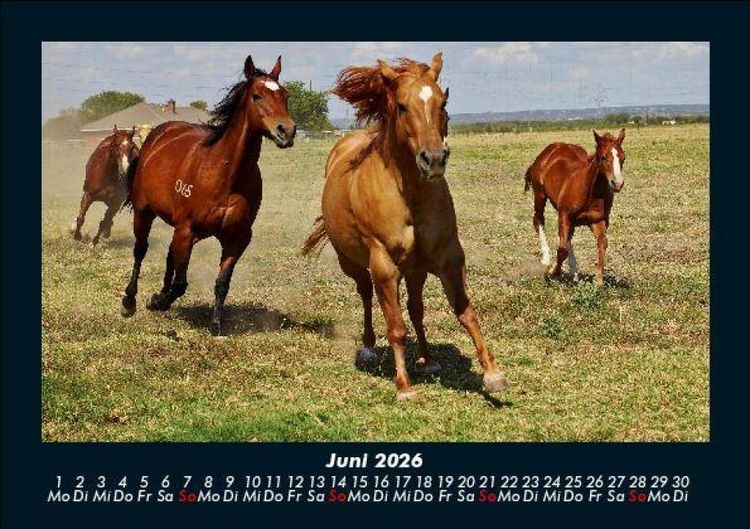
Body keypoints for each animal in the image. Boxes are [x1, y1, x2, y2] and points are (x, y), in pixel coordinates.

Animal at [120, 54, 296, 336]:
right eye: (257, 96)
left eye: (286, 95)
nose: (286, 131)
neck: (226, 176)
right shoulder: (186, 229)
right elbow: (181, 283)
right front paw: (157, 302)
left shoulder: (237, 238)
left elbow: (222, 282)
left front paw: (215, 324)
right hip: (144, 212)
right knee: (140, 250)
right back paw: (130, 301)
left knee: (169, 255)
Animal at [302, 53, 509, 400]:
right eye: (401, 106)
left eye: (443, 102)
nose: (434, 159)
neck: (408, 194)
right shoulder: (384, 263)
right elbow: (396, 327)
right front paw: (404, 386)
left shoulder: (448, 257)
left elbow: (465, 312)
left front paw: (492, 373)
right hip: (355, 263)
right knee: (367, 295)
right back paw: (370, 349)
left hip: (415, 269)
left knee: (415, 308)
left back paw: (427, 359)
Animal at [524, 129, 626, 285]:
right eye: (603, 157)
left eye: (623, 157)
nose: (618, 183)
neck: (591, 193)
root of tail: (548, 151)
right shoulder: (564, 214)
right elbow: (562, 250)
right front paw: (553, 272)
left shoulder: (598, 220)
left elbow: (602, 243)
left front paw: (598, 281)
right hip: (540, 194)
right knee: (538, 220)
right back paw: (546, 260)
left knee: (567, 237)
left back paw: (575, 273)